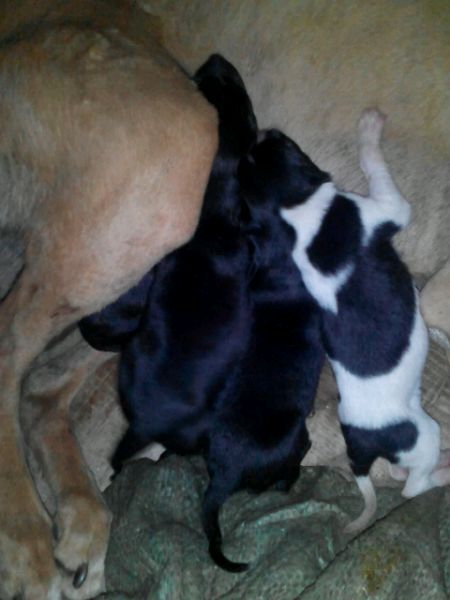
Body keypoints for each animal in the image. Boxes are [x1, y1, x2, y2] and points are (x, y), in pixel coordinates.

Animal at [250, 109, 450, 533]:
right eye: (284, 142)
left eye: (269, 143)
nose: (264, 128)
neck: (295, 209)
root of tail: (358, 450)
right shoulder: (388, 206)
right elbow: (375, 165)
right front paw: (369, 131)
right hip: (425, 432)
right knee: (413, 487)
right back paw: (445, 470)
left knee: (397, 474)